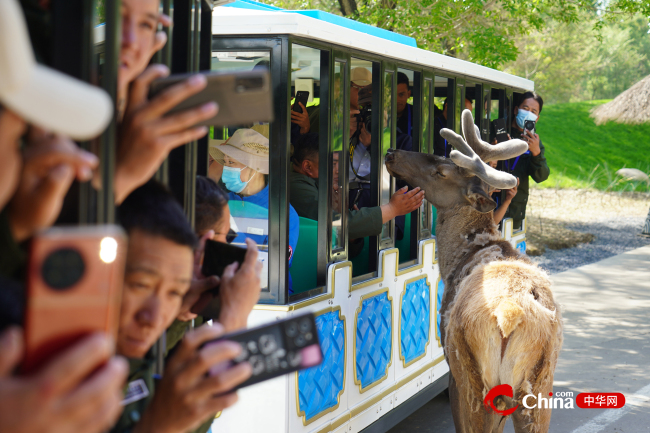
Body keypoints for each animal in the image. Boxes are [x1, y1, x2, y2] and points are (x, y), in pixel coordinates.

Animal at [384, 109, 560, 430]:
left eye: (442, 171)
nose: (391, 153)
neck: (457, 259)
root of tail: (508, 316)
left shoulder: (452, 366)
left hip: (471, 377)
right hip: (539, 384)